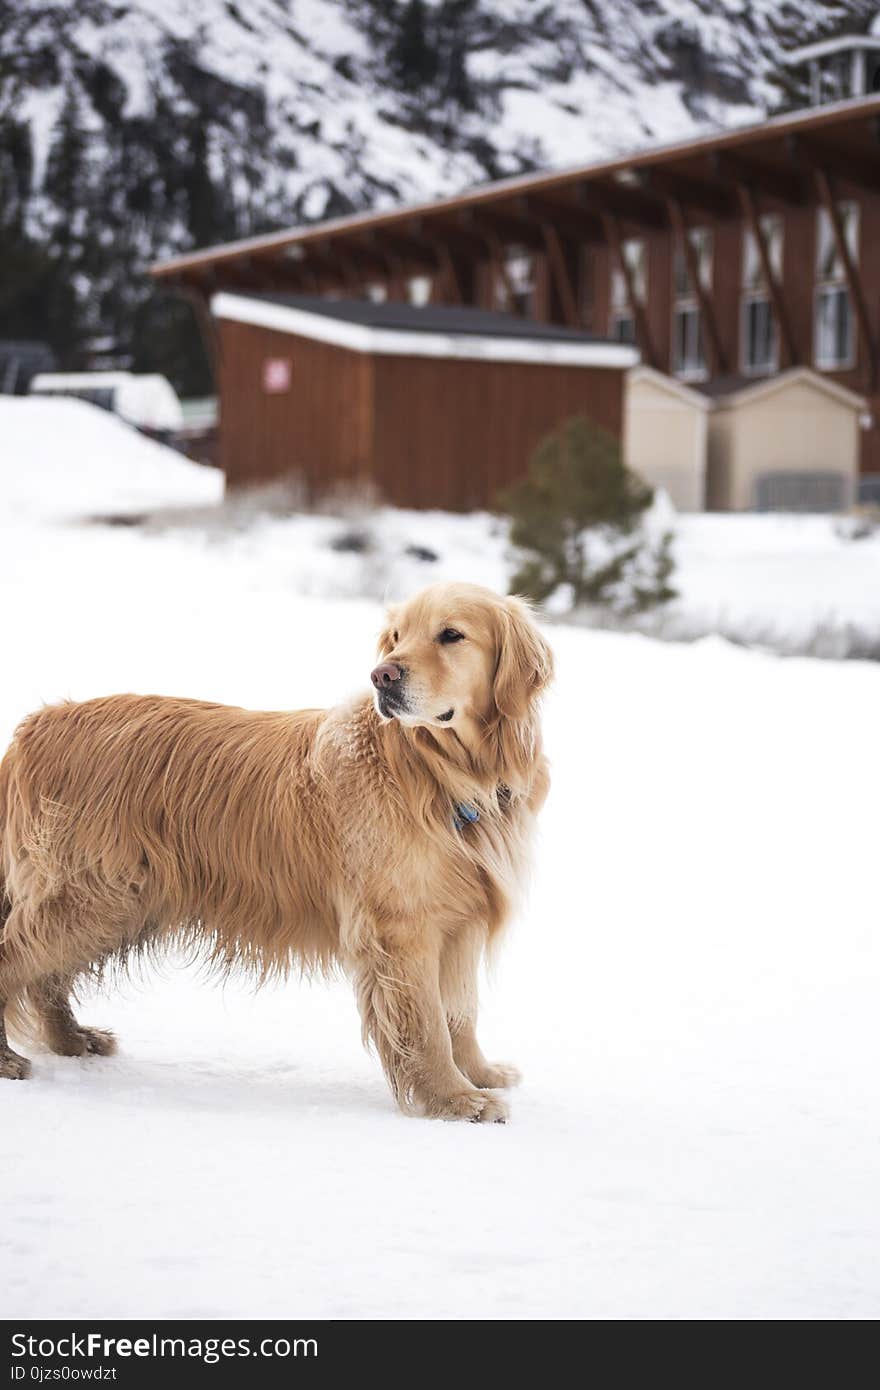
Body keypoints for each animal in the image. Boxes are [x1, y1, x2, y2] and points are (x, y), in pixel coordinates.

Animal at [0, 583, 550, 1117]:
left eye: (451, 635)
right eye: (396, 637)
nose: (382, 676)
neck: (441, 773)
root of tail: (35, 726)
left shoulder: (461, 921)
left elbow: (461, 1013)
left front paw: (478, 1074)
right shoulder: (402, 928)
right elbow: (429, 1024)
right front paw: (455, 1100)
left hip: (119, 904)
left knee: (46, 980)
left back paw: (72, 1039)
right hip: (94, 898)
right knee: (17, 959)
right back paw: (9, 1059)